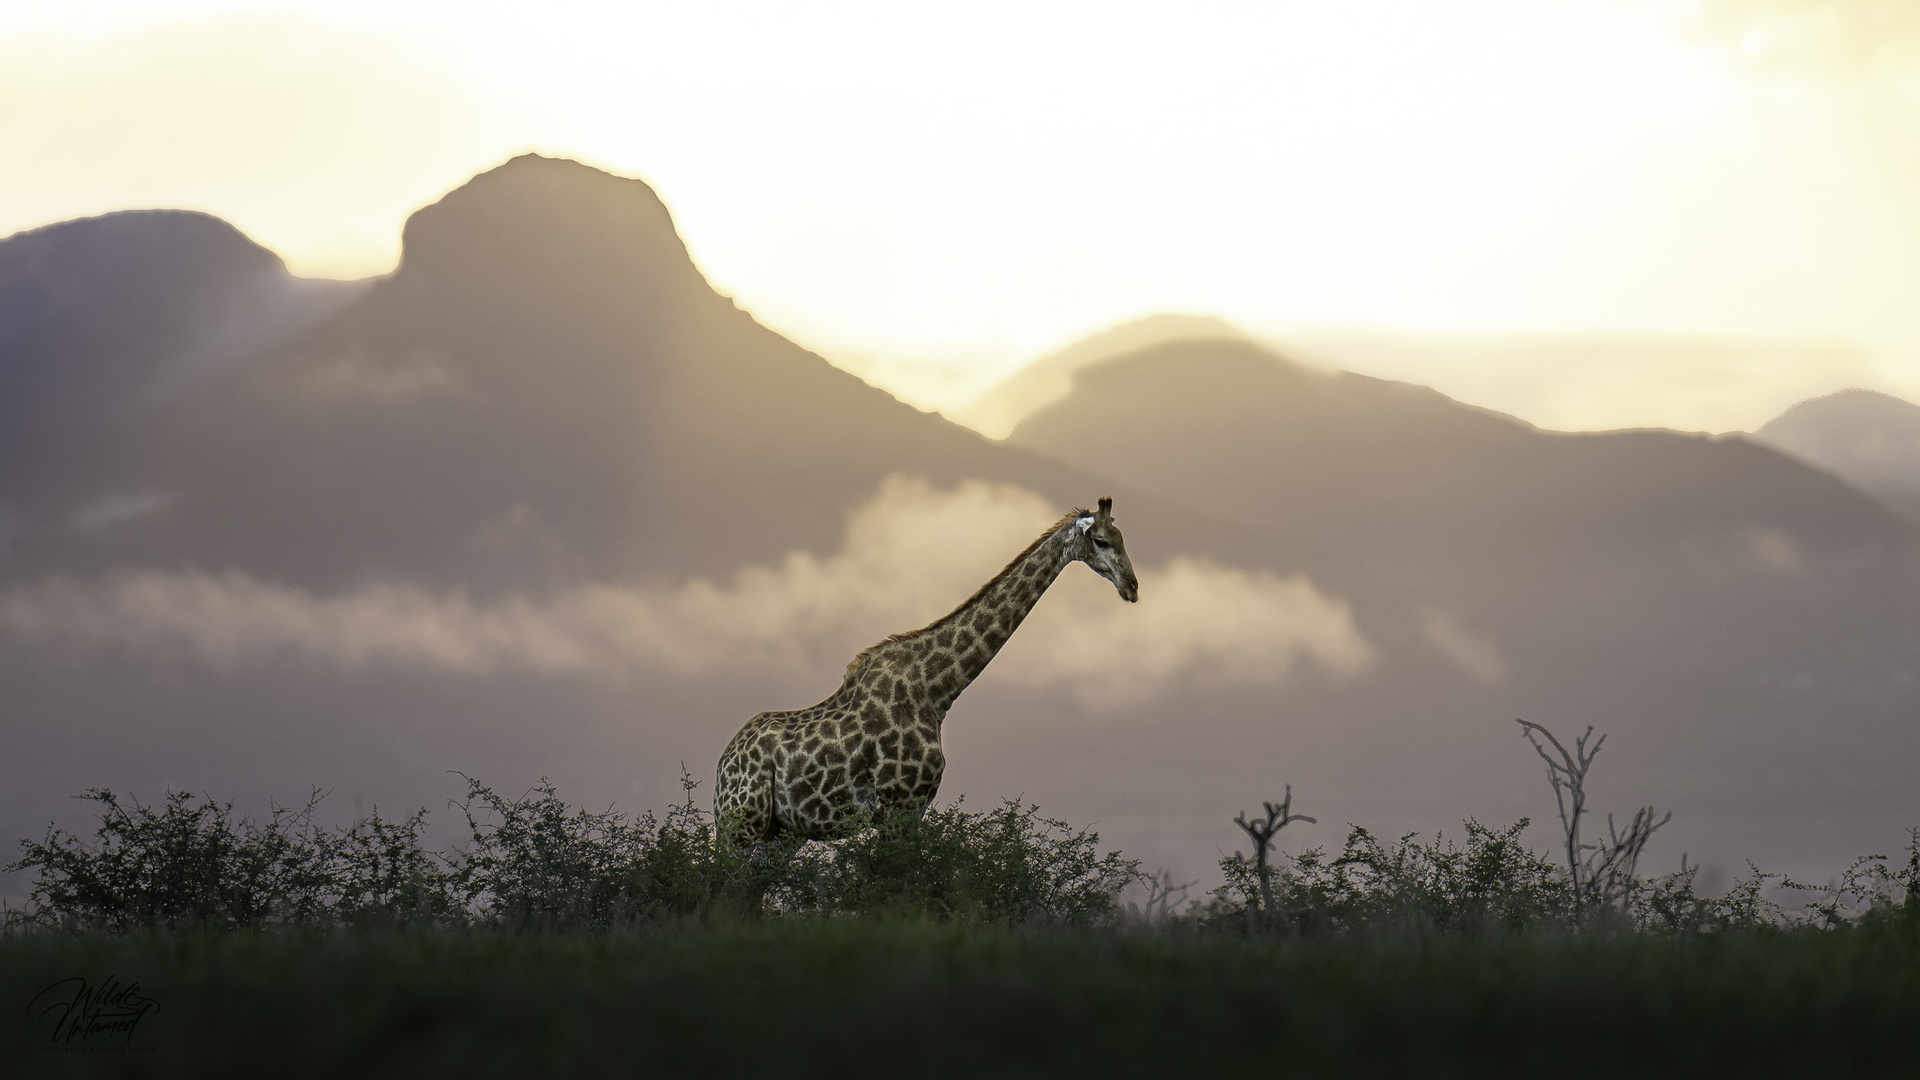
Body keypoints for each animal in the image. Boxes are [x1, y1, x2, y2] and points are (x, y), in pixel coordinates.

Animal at [721, 495, 1136, 841]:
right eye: (1101, 541)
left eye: (1122, 537)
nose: (1132, 586)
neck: (935, 690)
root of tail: (724, 761)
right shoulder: (895, 807)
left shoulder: (914, 809)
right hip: (741, 826)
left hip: (783, 833)